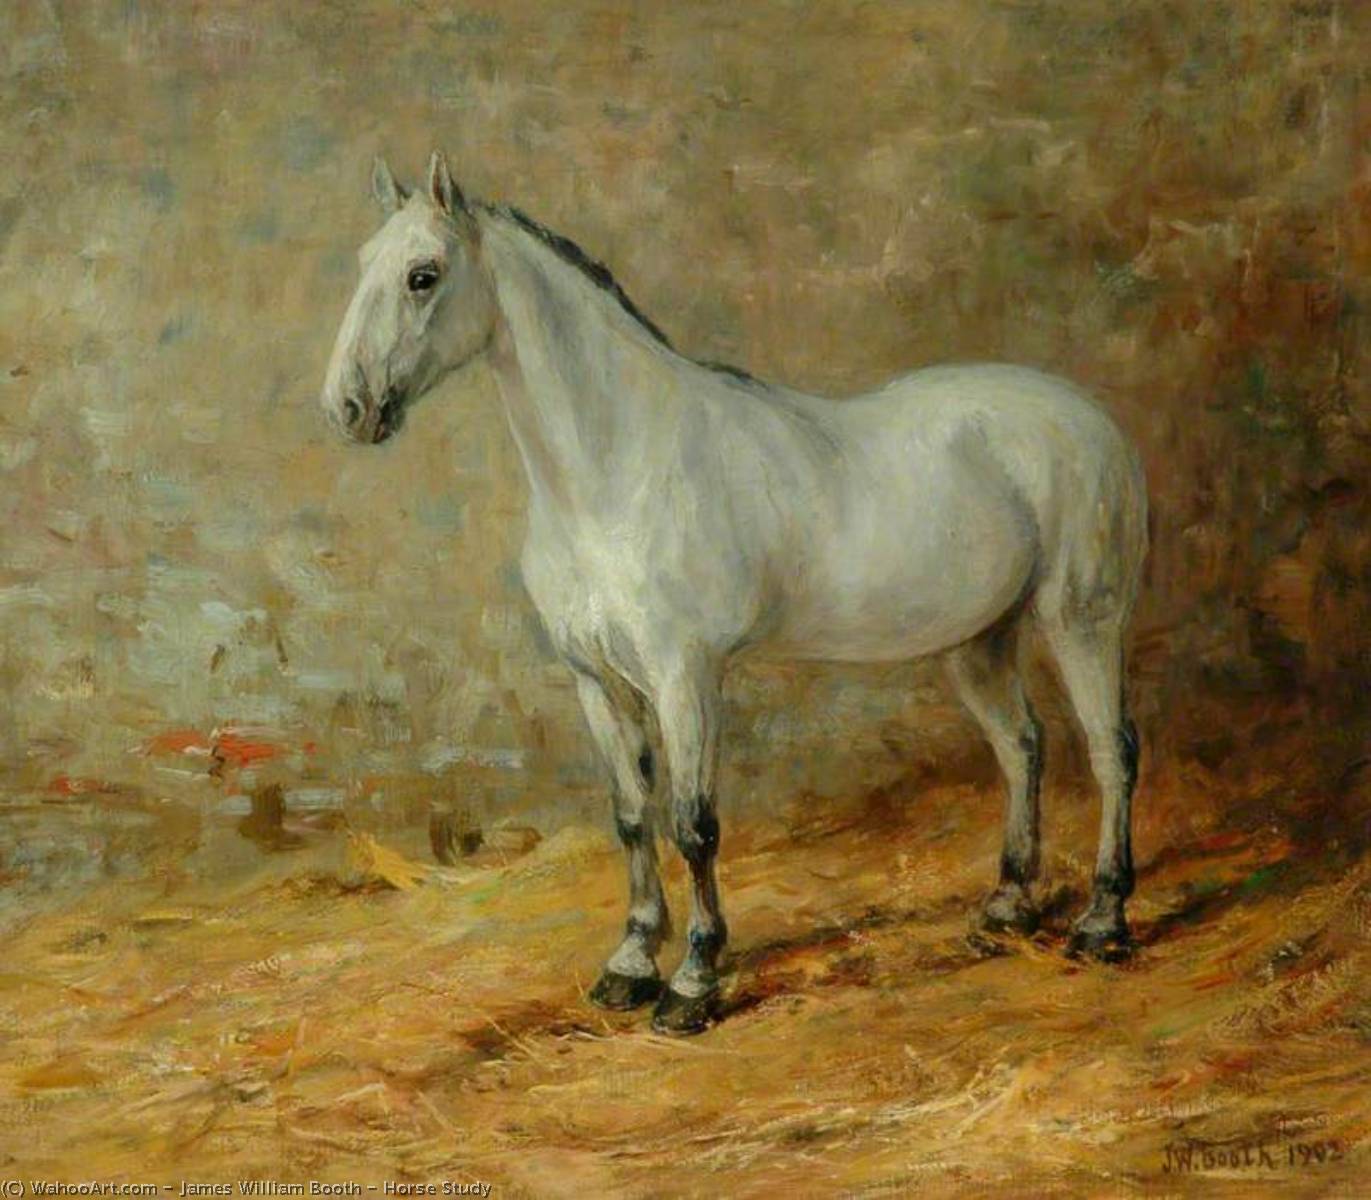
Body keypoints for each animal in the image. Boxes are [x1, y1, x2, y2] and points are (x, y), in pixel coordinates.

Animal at [320, 151, 1149, 1034]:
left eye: (423, 275)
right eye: (361, 264)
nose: (348, 408)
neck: (617, 472)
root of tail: (1088, 418)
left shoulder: (684, 676)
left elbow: (693, 825)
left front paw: (691, 982)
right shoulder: (596, 682)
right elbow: (630, 815)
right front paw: (628, 964)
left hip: (1081, 620)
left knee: (1110, 751)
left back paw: (1102, 923)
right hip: (977, 640)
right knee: (1021, 745)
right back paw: (1005, 908)